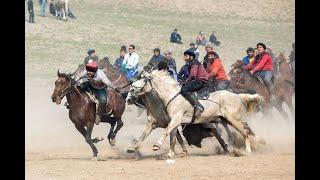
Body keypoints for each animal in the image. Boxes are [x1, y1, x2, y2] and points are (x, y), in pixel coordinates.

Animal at [130, 69, 264, 160]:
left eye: (145, 79)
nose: (131, 90)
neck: (172, 96)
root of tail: (237, 95)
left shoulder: (175, 119)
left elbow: (166, 131)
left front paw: (157, 145)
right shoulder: (172, 122)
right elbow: (172, 138)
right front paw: (170, 154)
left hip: (234, 119)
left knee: (245, 132)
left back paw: (247, 151)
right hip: (224, 120)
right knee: (236, 133)